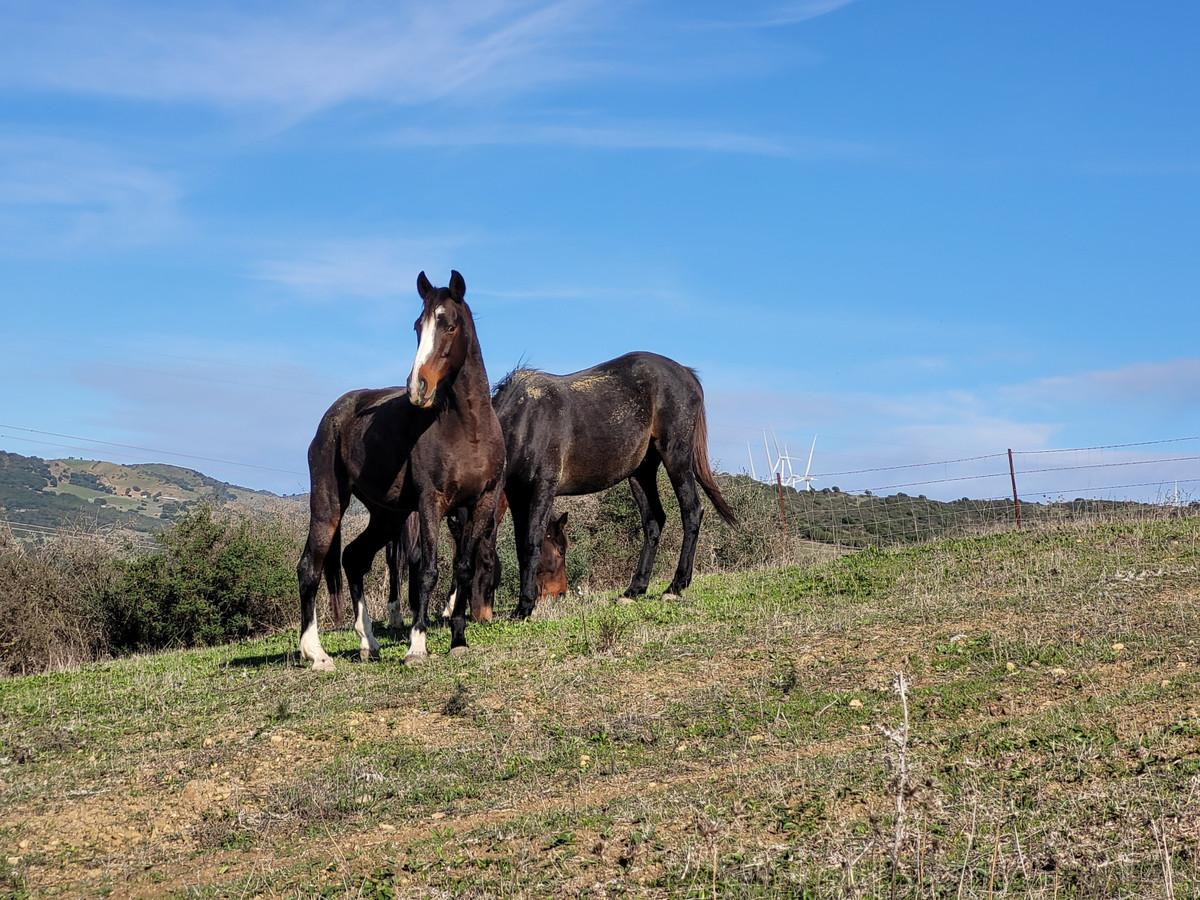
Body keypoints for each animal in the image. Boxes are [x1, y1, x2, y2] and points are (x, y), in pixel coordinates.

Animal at [302, 271, 508, 672]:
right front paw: (417, 646)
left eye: (449, 324)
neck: (469, 430)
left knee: (354, 557)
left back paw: (368, 642)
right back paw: (316, 653)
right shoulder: (431, 502)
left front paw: (458, 640)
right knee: (310, 568)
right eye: (417, 325)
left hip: (386, 514)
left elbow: (463, 567)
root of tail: (334, 415)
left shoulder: (482, 502)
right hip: (329, 505)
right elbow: (425, 570)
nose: (418, 387)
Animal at [487, 350, 729, 619]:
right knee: (654, 521)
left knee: (691, 511)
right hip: (641, 473)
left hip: (676, 458)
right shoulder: (517, 495)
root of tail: (686, 373)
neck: (525, 421)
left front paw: (524, 607)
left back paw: (675, 587)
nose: (560, 593)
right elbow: (521, 545)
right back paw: (634, 589)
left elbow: (532, 541)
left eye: (562, 550)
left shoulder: (542, 488)